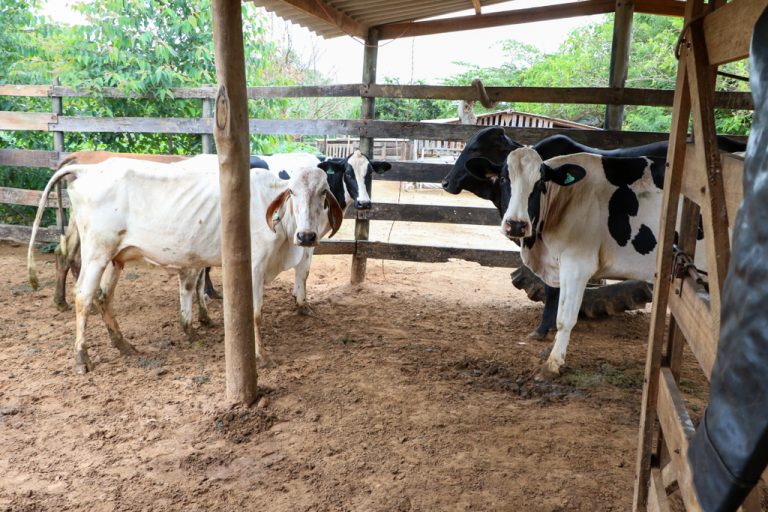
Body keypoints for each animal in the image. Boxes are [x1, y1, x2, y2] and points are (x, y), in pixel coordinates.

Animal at [28, 158, 342, 374]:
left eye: (323, 192)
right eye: (292, 192)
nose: (307, 236)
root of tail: (88, 170)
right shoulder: (254, 266)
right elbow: (254, 314)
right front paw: (260, 356)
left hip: (116, 258)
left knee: (104, 297)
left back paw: (124, 345)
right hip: (96, 252)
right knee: (83, 296)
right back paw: (82, 357)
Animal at [464, 146, 668, 378]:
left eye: (540, 183)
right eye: (504, 179)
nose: (516, 224)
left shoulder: (578, 265)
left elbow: (565, 318)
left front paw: (552, 364)